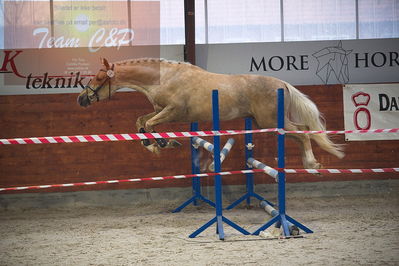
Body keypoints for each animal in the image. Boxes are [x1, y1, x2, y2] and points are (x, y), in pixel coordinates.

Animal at [78, 58, 344, 170]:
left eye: (99, 77)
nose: (81, 99)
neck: (164, 78)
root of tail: (283, 84)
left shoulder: (173, 111)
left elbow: (151, 124)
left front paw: (162, 143)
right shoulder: (160, 110)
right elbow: (141, 122)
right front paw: (152, 144)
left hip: (270, 120)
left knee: (303, 132)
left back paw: (311, 163)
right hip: (263, 121)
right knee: (301, 134)